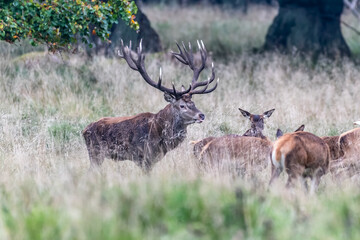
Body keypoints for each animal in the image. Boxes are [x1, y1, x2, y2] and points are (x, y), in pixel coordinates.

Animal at [83, 39, 218, 172]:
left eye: (193, 103)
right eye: (182, 106)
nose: (201, 115)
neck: (160, 134)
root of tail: (84, 131)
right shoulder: (143, 157)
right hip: (95, 152)